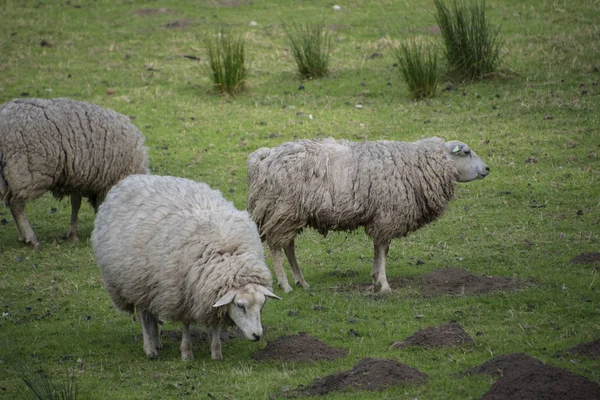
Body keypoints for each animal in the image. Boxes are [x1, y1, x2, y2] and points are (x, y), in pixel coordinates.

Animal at [0, 97, 149, 248]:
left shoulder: (78, 176)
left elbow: (75, 204)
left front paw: (73, 235)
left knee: (12, 204)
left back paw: (22, 237)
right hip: (24, 171)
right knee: (16, 205)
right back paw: (31, 239)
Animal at [91, 173, 282, 360]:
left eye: (262, 305)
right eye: (240, 306)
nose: (257, 336)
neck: (227, 254)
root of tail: (129, 179)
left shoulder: (205, 294)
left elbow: (214, 324)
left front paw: (216, 352)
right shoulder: (181, 295)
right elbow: (185, 324)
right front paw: (186, 352)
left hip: (149, 286)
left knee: (150, 314)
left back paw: (156, 342)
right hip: (133, 283)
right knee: (143, 315)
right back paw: (150, 348)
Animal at [246, 138, 490, 294]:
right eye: (466, 152)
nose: (487, 169)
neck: (418, 163)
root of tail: (263, 156)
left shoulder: (380, 217)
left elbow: (379, 248)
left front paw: (375, 278)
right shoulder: (387, 214)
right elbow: (382, 249)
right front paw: (384, 284)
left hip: (289, 213)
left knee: (288, 246)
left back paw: (301, 282)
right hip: (282, 209)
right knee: (276, 246)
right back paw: (285, 284)